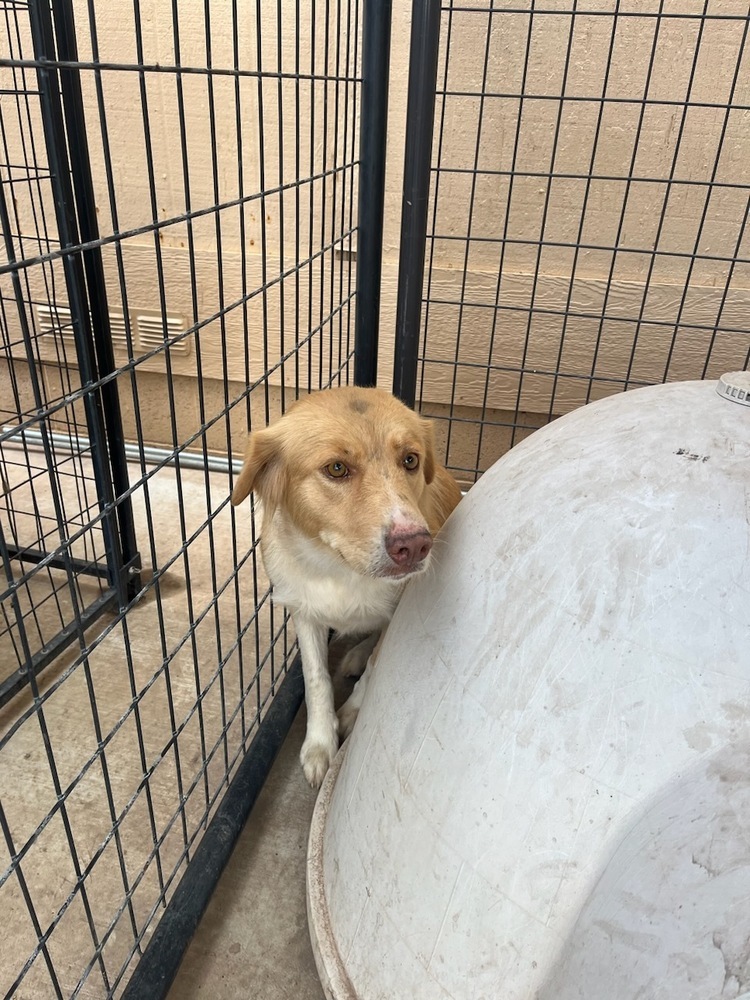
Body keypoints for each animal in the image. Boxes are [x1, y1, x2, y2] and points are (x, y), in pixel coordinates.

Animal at [232, 386, 462, 784]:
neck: (339, 568)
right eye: (337, 468)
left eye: (410, 460)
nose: (416, 545)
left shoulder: (398, 614)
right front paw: (320, 743)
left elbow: (375, 666)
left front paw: (353, 712)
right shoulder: (303, 610)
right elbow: (316, 679)